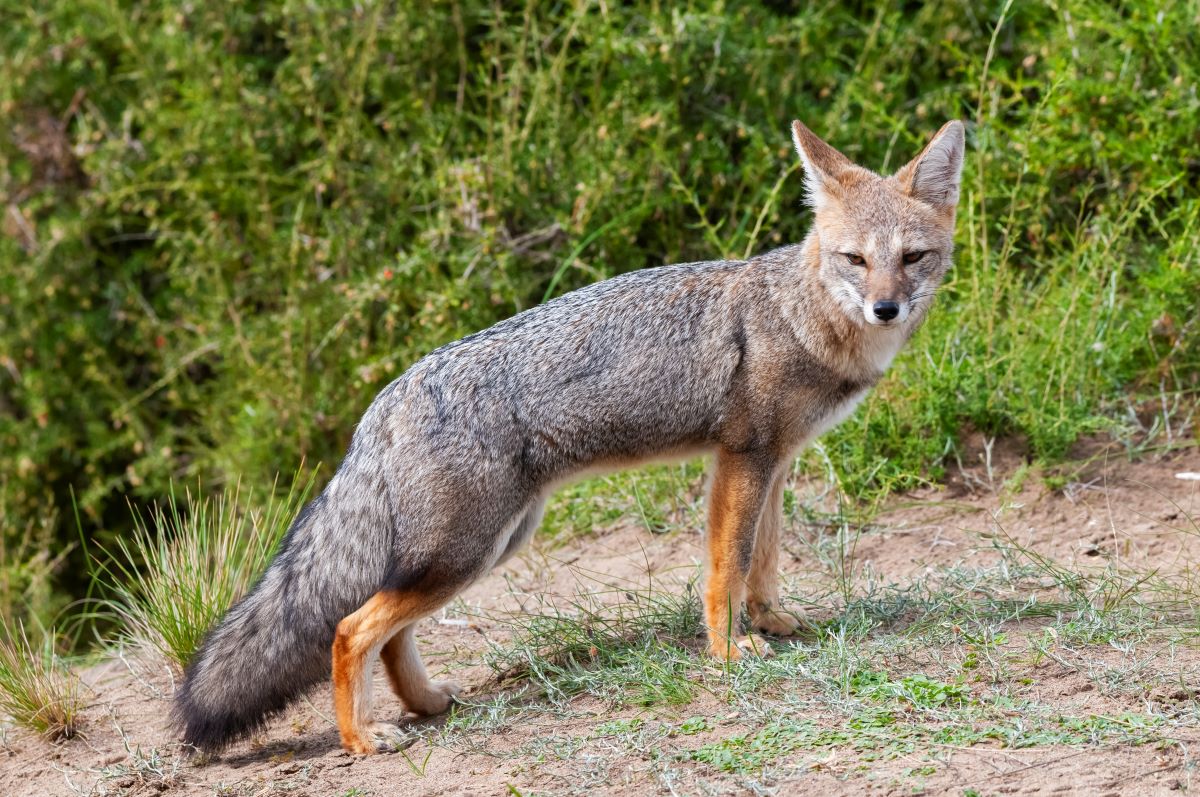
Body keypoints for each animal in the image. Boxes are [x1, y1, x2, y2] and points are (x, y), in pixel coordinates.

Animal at [175, 117, 964, 753]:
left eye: (912, 257)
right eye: (855, 260)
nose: (886, 308)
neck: (801, 315)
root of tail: (388, 397)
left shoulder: (773, 461)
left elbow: (762, 559)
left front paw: (771, 622)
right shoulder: (741, 458)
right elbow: (726, 568)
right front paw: (728, 652)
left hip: (486, 545)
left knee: (390, 632)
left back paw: (424, 704)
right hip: (466, 551)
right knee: (349, 629)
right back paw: (362, 739)